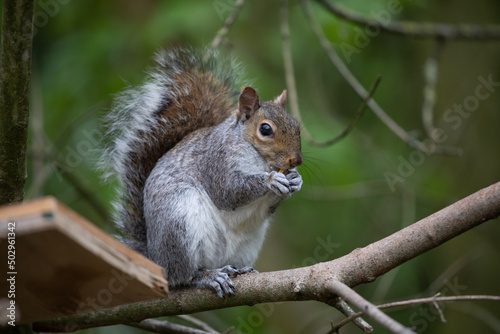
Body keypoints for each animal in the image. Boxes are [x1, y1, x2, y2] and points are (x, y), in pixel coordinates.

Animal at [102, 47, 300, 298]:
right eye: (265, 129)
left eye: (297, 127)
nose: (297, 160)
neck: (260, 159)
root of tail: (156, 258)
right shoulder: (216, 161)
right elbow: (228, 192)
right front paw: (272, 181)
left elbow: (268, 207)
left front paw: (295, 179)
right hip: (179, 223)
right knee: (182, 277)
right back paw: (207, 276)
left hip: (247, 244)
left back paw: (237, 270)